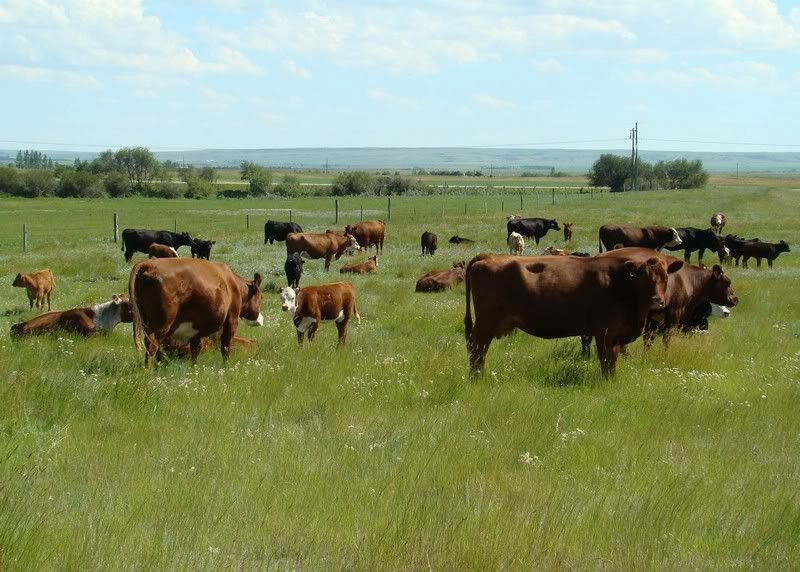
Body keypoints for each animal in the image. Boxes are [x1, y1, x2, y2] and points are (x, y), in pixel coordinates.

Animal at [129, 258, 263, 366]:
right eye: (261, 297)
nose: (260, 318)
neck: (233, 284)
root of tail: (147, 264)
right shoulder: (231, 321)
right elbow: (225, 347)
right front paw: (226, 367)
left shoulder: (196, 330)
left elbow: (195, 350)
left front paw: (194, 368)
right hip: (161, 325)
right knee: (152, 347)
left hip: (146, 323)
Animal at [464, 252, 683, 376]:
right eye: (643, 278)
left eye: (665, 277)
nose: (657, 300)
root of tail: (488, 257)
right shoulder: (605, 334)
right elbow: (607, 361)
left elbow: (611, 361)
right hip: (485, 324)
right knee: (477, 349)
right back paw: (477, 377)